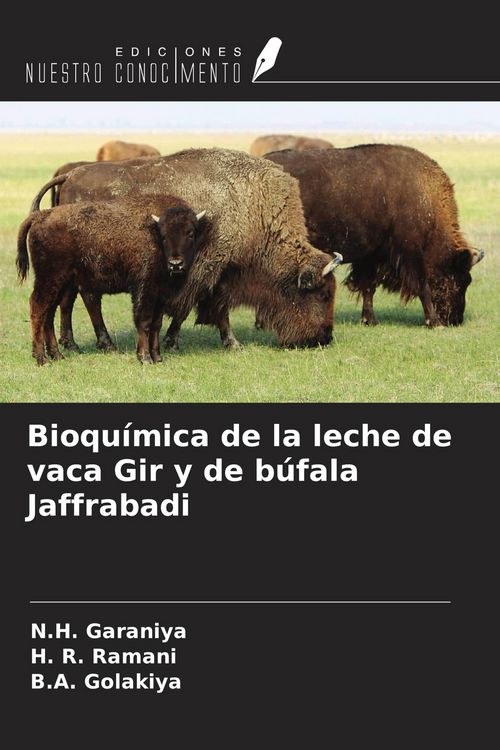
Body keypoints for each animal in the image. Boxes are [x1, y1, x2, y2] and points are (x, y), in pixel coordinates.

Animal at [16, 198, 206, 365]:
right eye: (164, 236)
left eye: (190, 233)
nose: (176, 264)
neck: (154, 234)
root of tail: (41, 215)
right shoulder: (144, 289)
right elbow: (144, 322)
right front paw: (145, 358)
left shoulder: (160, 295)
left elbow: (156, 325)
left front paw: (158, 358)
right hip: (50, 279)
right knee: (37, 308)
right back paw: (42, 359)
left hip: (61, 283)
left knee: (49, 314)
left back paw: (57, 355)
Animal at [29, 148, 340, 352]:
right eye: (323, 294)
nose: (324, 337)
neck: (253, 205)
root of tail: (70, 175)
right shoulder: (209, 268)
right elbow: (201, 307)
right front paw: (225, 343)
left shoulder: (216, 272)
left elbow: (206, 306)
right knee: (89, 298)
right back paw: (103, 343)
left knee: (70, 299)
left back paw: (72, 344)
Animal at [266, 145, 485, 327]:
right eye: (460, 279)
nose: (455, 319)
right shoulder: (411, 254)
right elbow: (423, 287)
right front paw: (434, 322)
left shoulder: (371, 256)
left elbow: (369, 287)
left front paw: (369, 320)